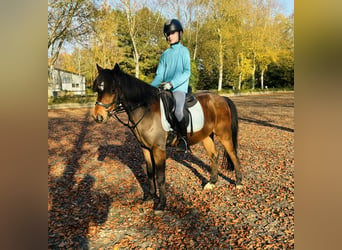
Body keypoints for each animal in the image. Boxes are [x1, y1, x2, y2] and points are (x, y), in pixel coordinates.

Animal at [93, 63, 243, 212]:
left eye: (113, 89)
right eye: (98, 90)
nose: (98, 117)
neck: (145, 109)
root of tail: (222, 98)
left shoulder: (159, 149)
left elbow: (160, 177)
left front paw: (161, 204)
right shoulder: (145, 148)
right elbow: (150, 172)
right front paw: (150, 196)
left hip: (224, 135)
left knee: (233, 155)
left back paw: (239, 183)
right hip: (206, 136)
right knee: (214, 155)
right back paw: (212, 183)